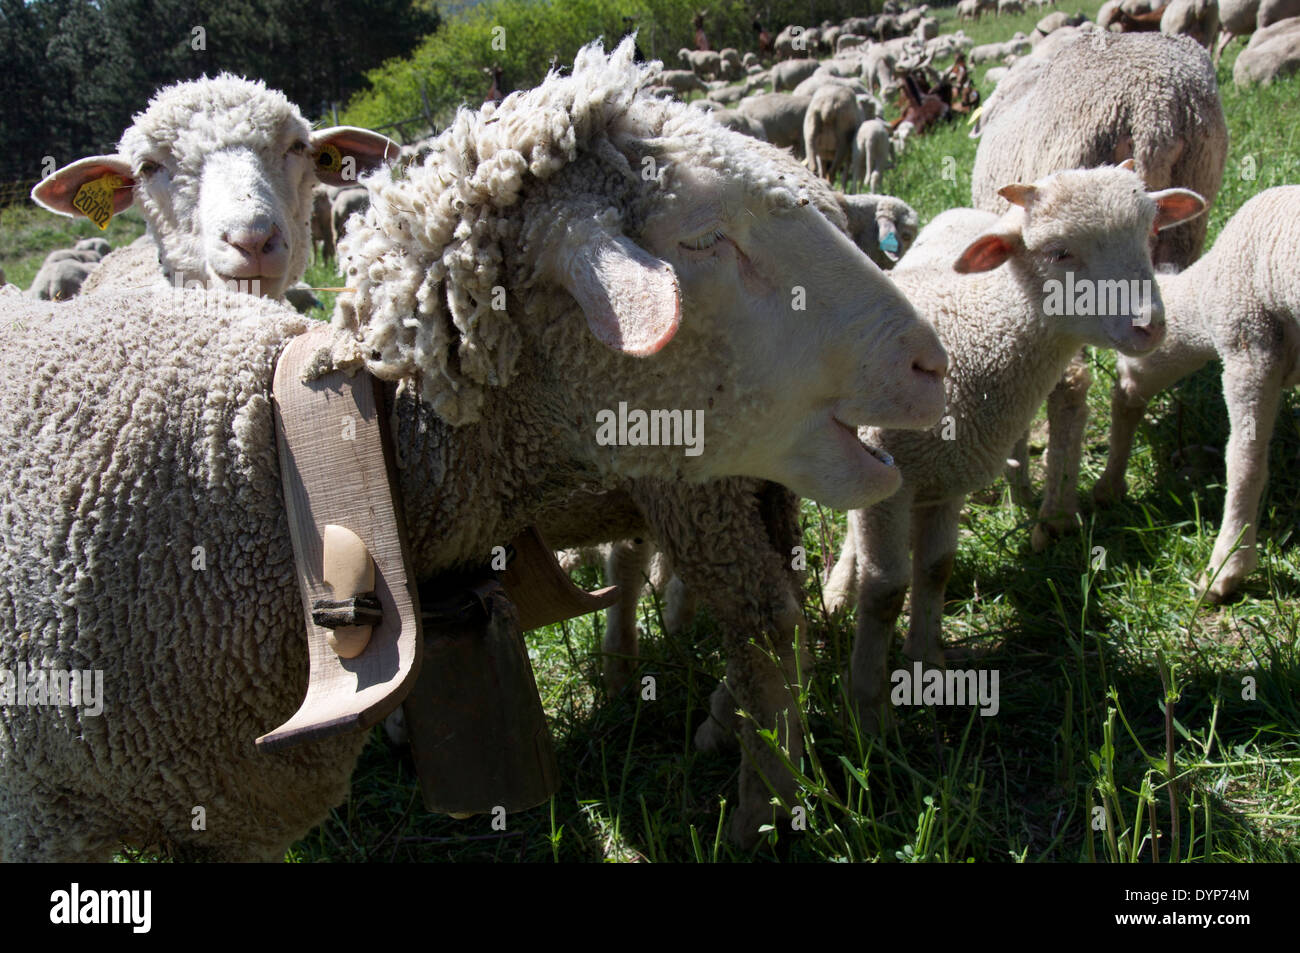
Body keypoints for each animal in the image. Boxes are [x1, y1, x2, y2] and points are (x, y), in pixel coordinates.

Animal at [821, 167, 1206, 722]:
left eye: (1149, 234)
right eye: (1059, 252)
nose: (1149, 325)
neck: (973, 333)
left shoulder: (948, 478)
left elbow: (935, 568)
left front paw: (926, 662)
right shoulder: (894, 477)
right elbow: (886, 590)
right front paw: (868, 713)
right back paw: (837, 591)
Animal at [977, 31, 1227, 551]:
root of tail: (1153, 102)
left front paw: (1019, 489)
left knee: (1070, 387)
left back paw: (1053, 515)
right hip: (1188, 219)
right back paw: (1108, 487)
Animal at [1097, 187, 1300, 603]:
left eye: (1125, 355)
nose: (1120, 396)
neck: (1203, 295)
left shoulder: (1249, 347)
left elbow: (1243, 462)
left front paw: (1227, 567)